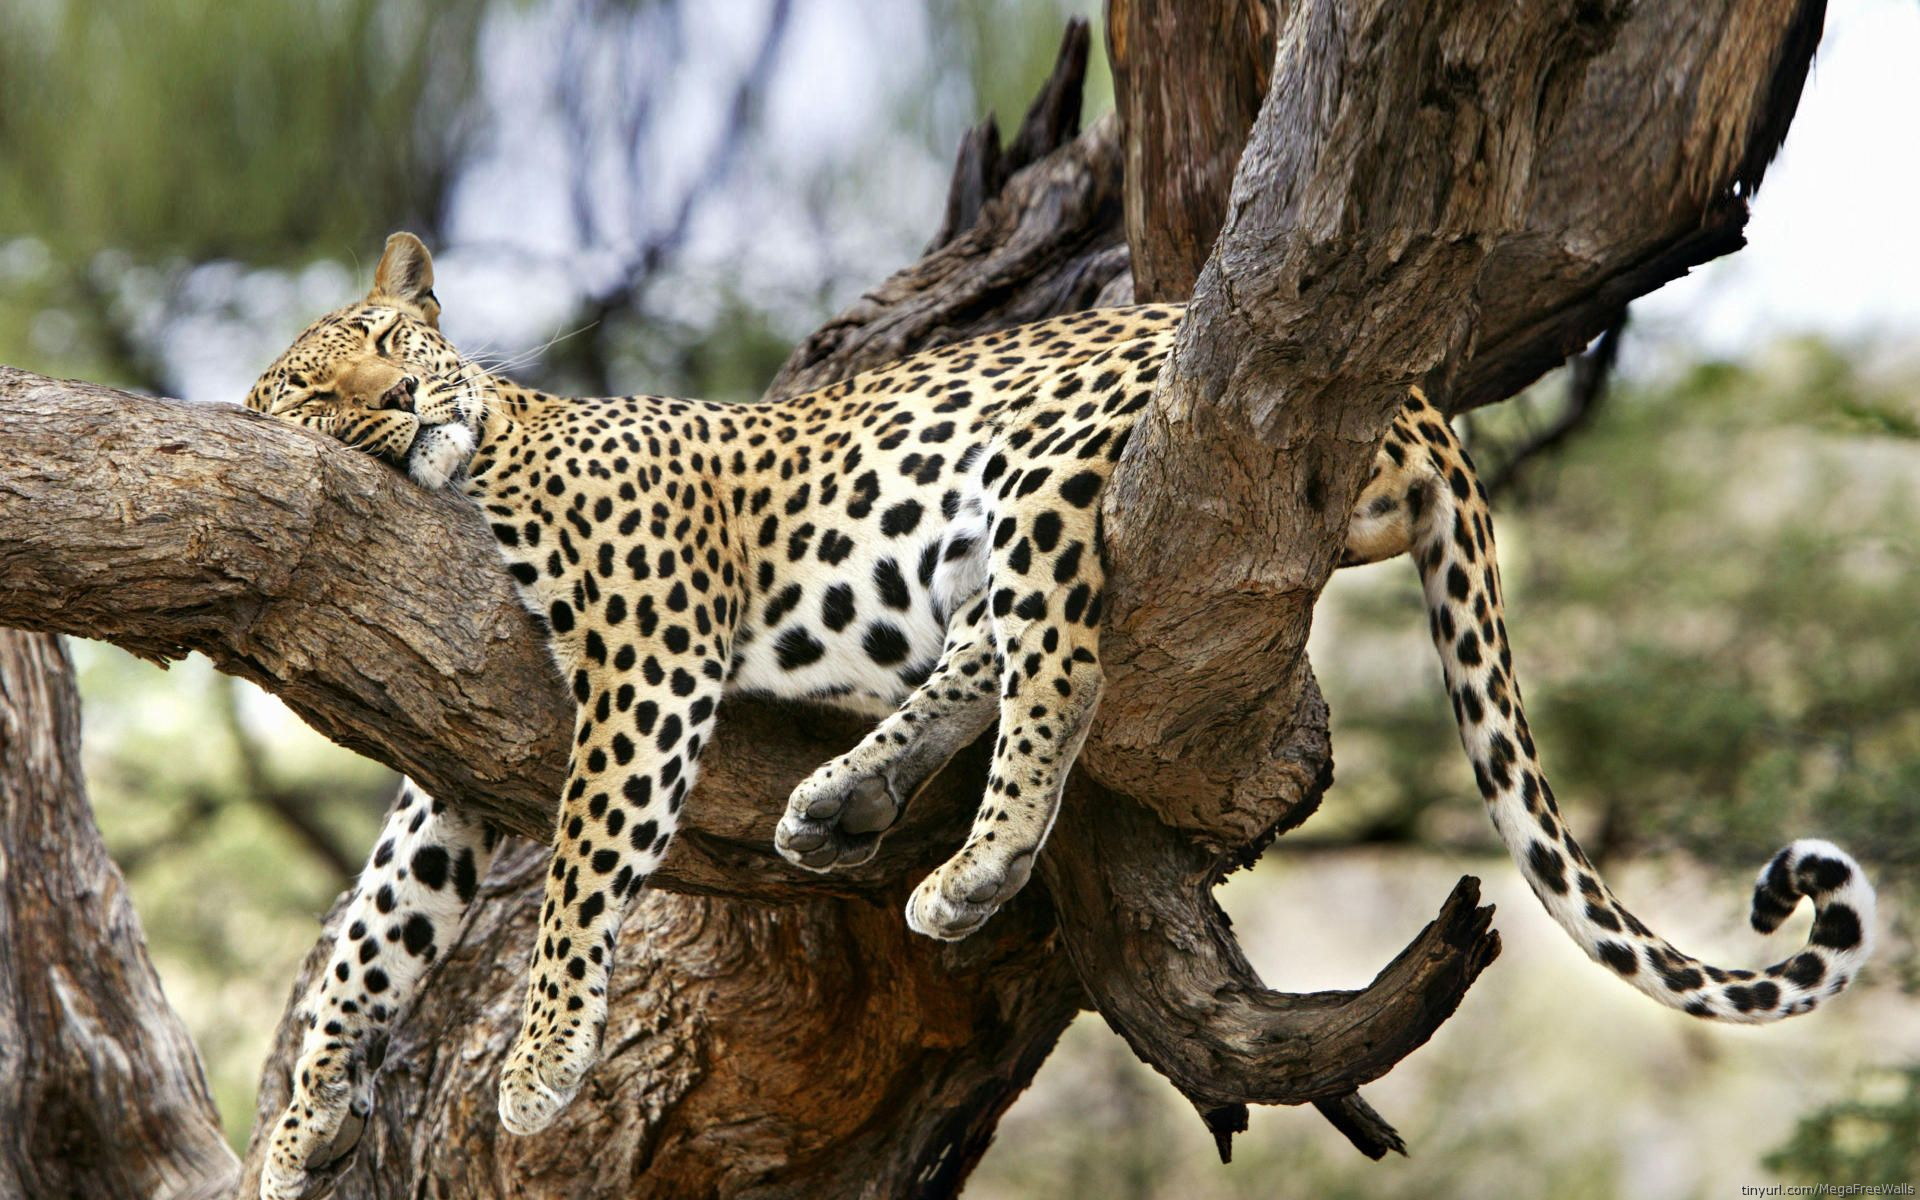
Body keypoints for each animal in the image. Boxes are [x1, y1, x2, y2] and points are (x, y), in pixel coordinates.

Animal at [244, 232, 1876, 1200]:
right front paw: (296, 1125)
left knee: (1064, 663)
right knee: (992, 649)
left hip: (1040, 468)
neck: (483, 462)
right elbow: (375, 931)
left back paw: (972, 867)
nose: (404, 406)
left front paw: (537, 1066)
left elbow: (583, 872)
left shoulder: (647, 663)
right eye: (315, 392)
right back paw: (846, 800)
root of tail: (1417, 398)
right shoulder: (452, 762)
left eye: (393, 343)